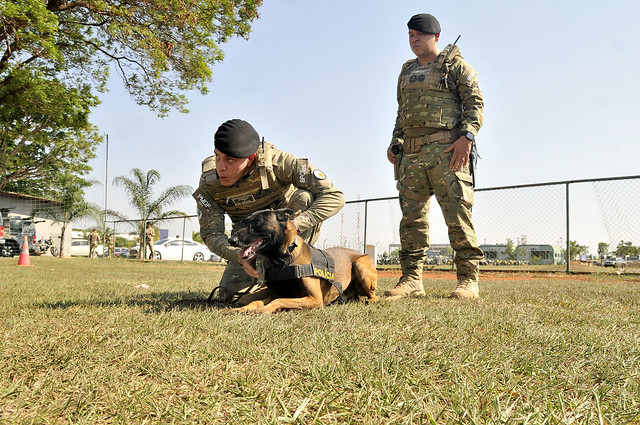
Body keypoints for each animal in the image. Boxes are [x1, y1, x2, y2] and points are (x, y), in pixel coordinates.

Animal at [226, 207, 376, 314]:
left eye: (258, 223)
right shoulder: (273, 294)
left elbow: (279, 300)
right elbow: (255, 302)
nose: (231, 240)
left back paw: (371, 300)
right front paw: (241, 309)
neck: (282, 261)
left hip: (360, 265)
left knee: (373, 295)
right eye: (245, 223)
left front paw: (263, 309)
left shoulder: (315, 299)